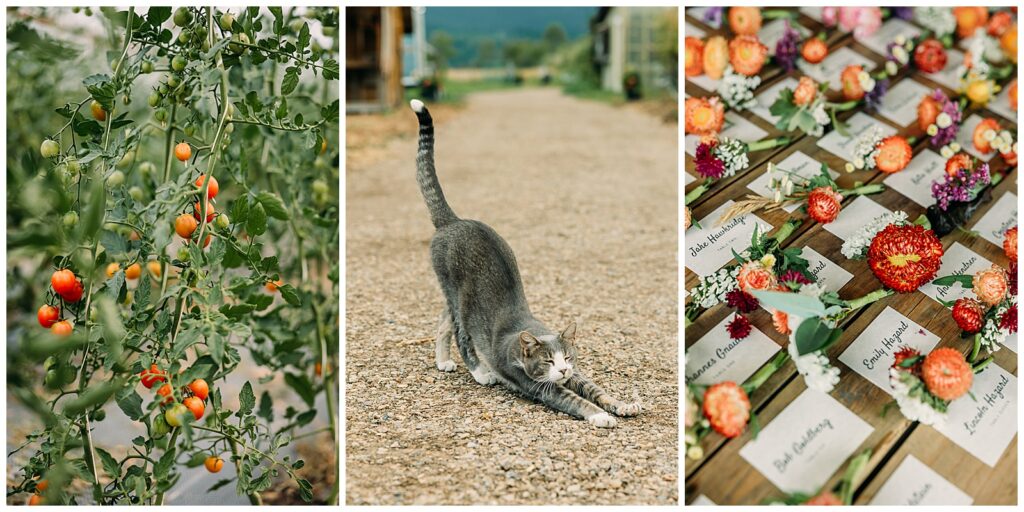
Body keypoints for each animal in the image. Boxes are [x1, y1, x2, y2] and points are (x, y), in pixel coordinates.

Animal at [407, 99, 638, 428]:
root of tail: (453, 221)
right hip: (456, 294)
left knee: (443, 322)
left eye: (568, 357)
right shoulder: (542, 387)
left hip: (453, 296)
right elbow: (577, 400)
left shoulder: (577, 374)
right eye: (547, 361)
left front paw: (621, 404)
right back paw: (480, 373)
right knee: (461, 333)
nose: (562, 370)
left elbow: (596, 389)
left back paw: (442, 361)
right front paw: (601, 416)